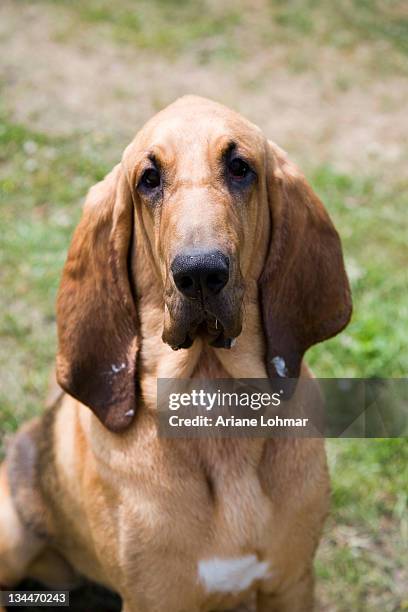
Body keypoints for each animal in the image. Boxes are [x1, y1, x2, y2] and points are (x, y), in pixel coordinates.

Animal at [0, 95, 350, 612]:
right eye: (149, 179)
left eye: (241, 168)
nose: (200, 273)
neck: (212, 398)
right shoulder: (155, 598)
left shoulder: (290, 583)